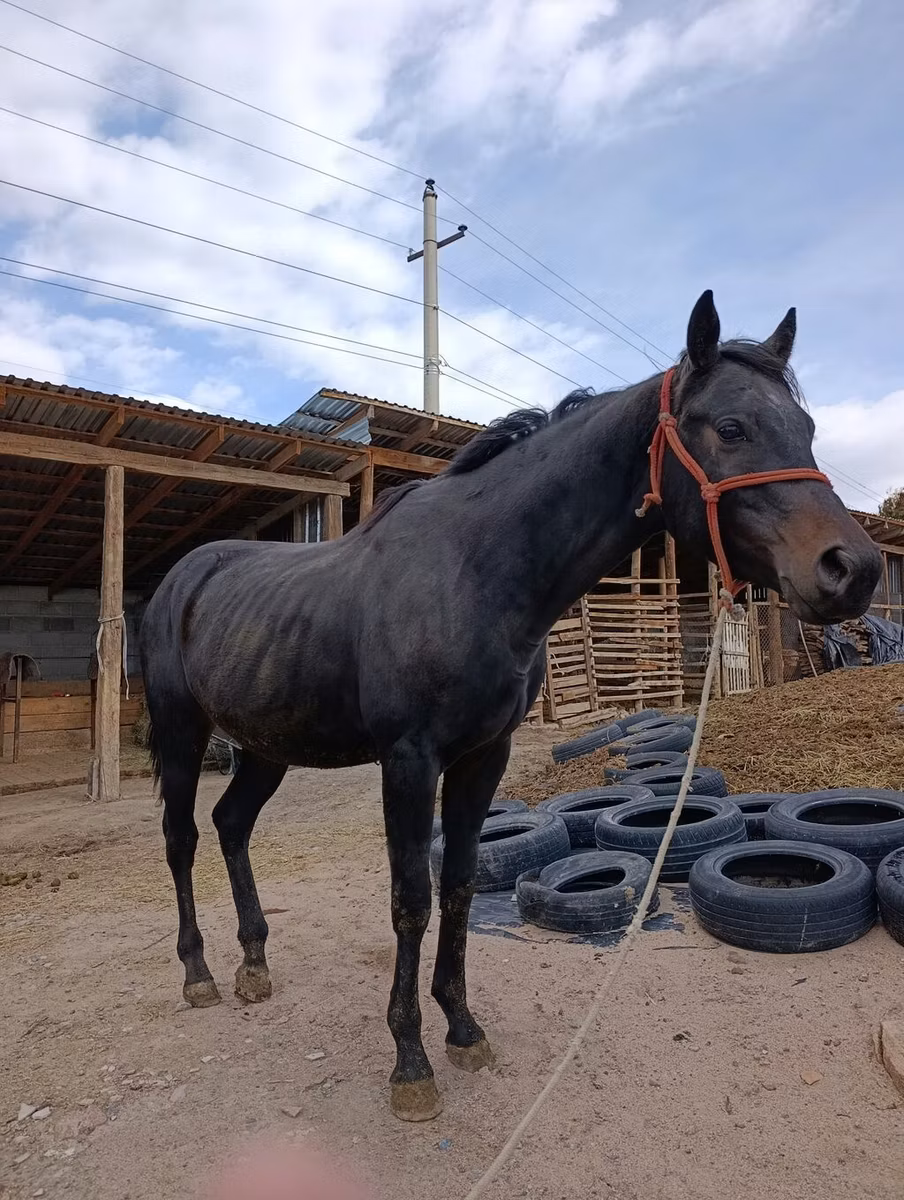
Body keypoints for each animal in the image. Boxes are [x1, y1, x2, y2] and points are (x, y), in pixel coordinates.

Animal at [139, 291, 881, 1122]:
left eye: (807, 429)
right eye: (730, 428)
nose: (853, 568)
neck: (478, 569)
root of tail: (181, 579)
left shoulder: (481, 756)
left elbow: (461, 885)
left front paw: (462, 1028)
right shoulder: (409, 760)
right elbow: (411, 899)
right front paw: (410, 1063)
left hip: (267, 747)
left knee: (232, 825)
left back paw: (254, 964)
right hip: (181, 734)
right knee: (181, 839)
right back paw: (199, 974)